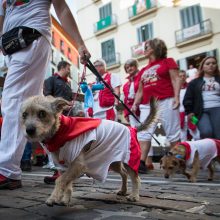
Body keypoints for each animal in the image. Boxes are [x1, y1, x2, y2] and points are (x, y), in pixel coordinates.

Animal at [20, 96, 158, 206]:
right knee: (124, 174)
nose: (29, 130)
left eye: (42, 113)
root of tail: (131, 128)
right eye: (24, 115)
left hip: (129, 159)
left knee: (136, 178)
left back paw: (134, 196)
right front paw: (65, 200)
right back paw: (123, 191)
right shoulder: (64, 167)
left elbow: (60, 180)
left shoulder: (77, 165)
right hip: (113, 161)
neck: (60, 132)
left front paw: (53, 198)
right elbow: (67, 183)